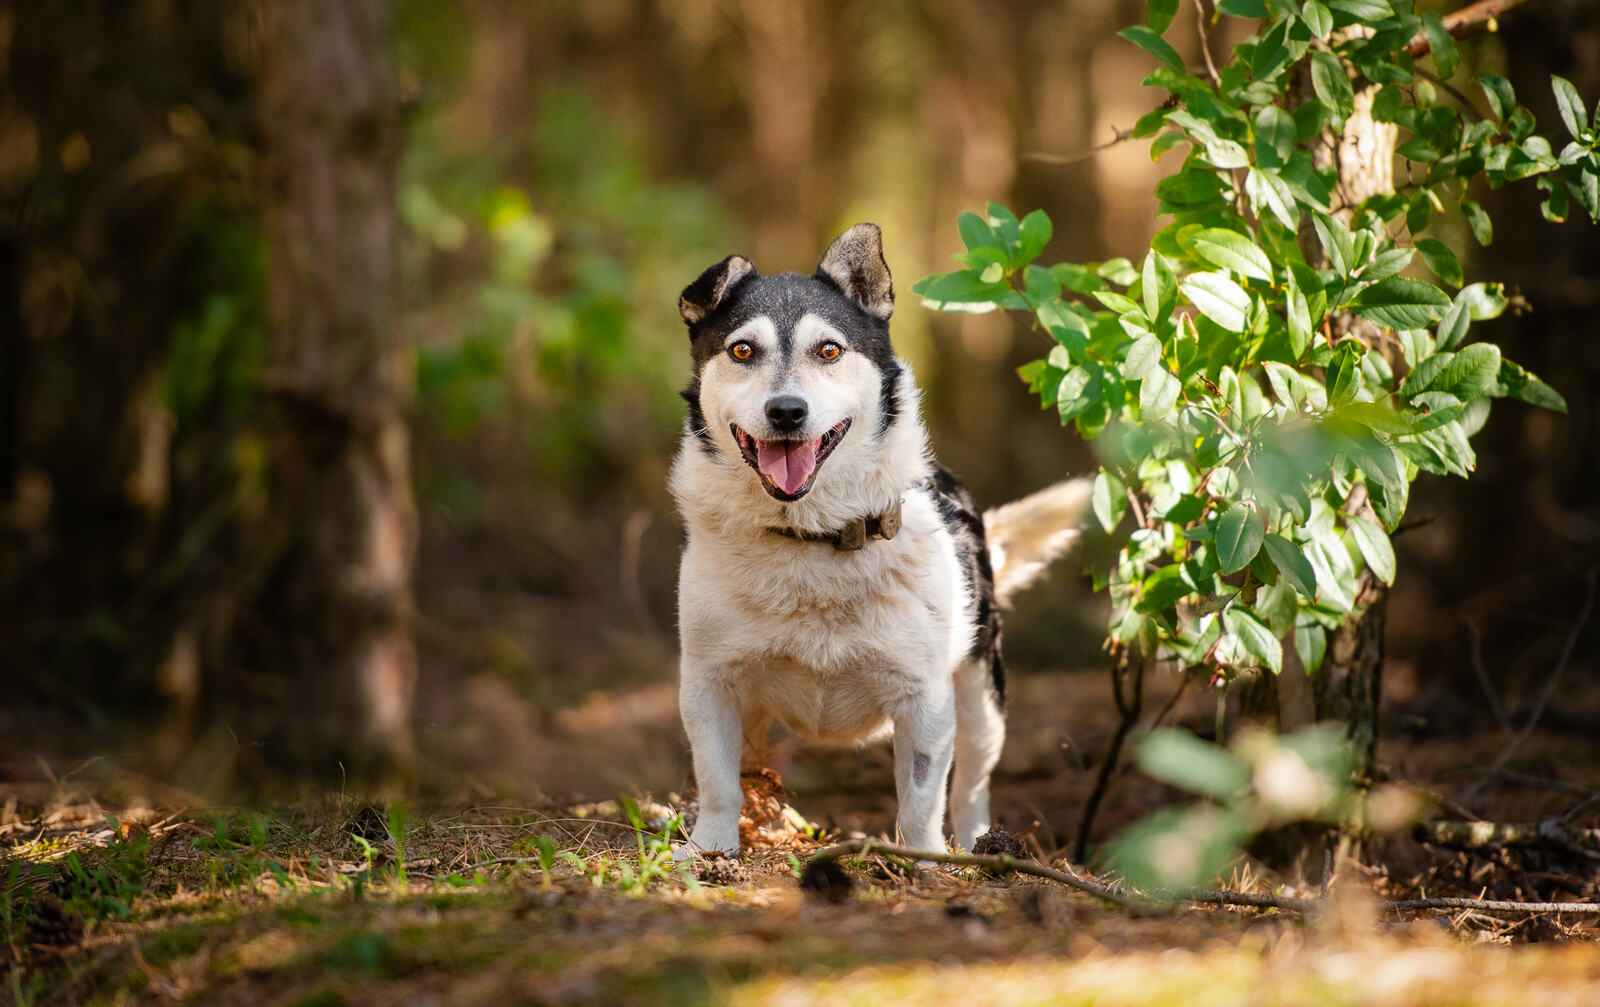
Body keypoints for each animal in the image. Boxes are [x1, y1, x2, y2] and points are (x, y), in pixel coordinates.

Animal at [662, 222, 1088, 858]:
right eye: (741, 351)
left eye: (829, 350)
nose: (786, 411)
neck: (810, 533)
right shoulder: (709, 684)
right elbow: (717, 780)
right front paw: (711, 849)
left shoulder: (925, 699)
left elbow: (921, 799)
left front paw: (924, 862)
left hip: (983, 696)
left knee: (971, 786)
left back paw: (980, 846)